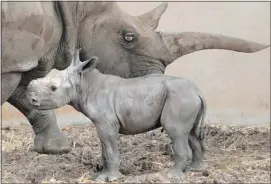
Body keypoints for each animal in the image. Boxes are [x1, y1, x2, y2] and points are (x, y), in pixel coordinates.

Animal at [26, 49, 208, 182]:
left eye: (53, 88)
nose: (31, 99)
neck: (84, 82)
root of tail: (198, 91)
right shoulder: (103, 123)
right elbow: (104, 149)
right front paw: (100, 175)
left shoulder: (106, 123)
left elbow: (109, 149)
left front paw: (108, 178)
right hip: (186, 98)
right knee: (190, 134)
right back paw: (195, 170)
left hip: (180, 98)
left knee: (175, 131)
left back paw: (172, 175)